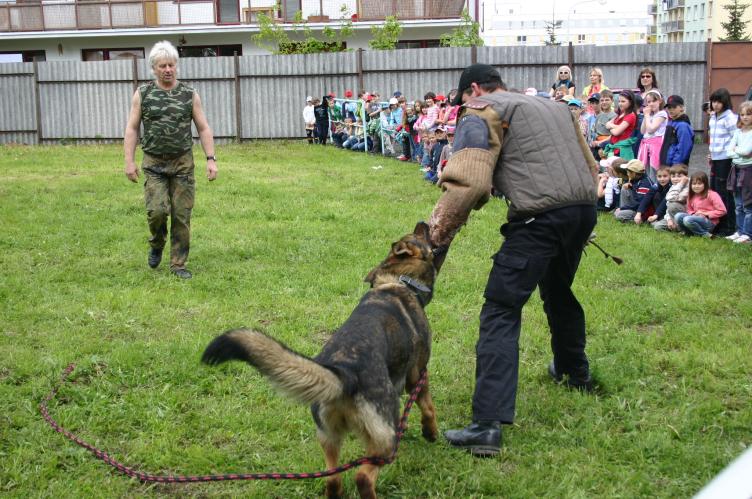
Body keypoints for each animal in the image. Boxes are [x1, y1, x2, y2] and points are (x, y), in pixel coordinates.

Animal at [203, 224, 440, 499]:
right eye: (418, 237)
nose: (423, 223)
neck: (399, 281)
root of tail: (344, 373)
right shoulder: (418, 374)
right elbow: (428, 407)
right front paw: (431, 433)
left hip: (329, 437)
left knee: (333, 479)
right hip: (386, 439)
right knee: (363, 476)